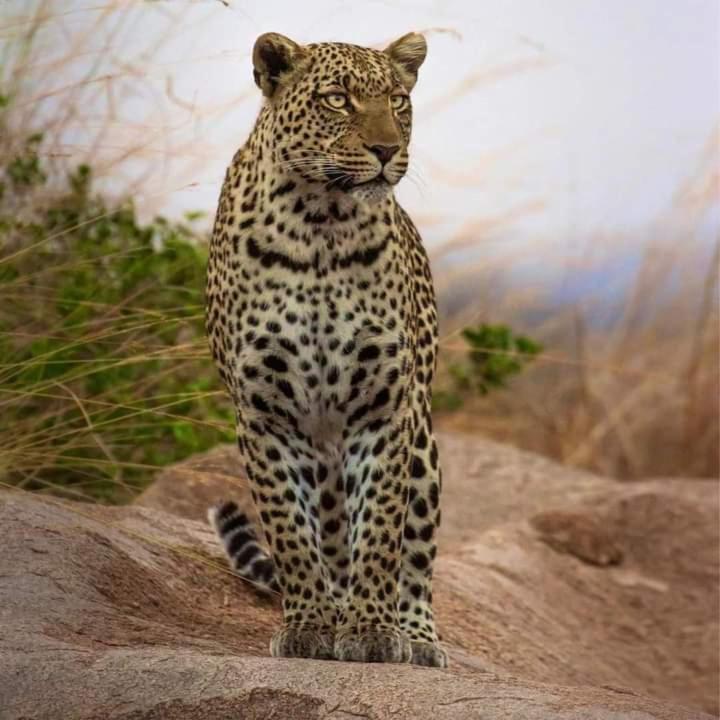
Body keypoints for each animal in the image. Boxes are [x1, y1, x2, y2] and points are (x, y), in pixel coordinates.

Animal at [205, 29, 448, 668]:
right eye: (338, 100)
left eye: (397, 101)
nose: (387, 149)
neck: (321, 222)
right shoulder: (264, 410)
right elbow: (289, 530)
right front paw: (309, 627)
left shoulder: (384, 408)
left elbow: (383, 529)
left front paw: (372, 632)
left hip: (424, 442)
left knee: (415, 555)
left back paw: (416, 635)